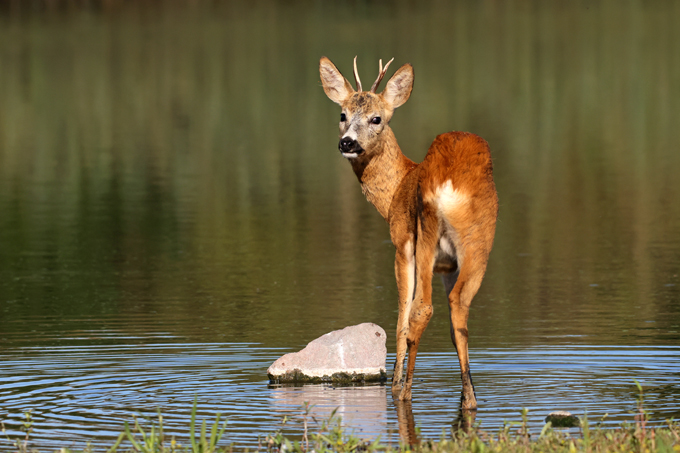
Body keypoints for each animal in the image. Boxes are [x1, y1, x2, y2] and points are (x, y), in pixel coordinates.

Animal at [319, 56, 498, 409]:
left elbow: (401, 318)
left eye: (377, 118)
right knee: (459, 307)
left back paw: (404, 391)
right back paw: (469, 398)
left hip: (424, 233)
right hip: (479, 242)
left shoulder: (401, 243)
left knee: (421, 309)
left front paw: (395, 383)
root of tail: (447, 184)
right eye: (343, 114)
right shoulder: (448, 266)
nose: (348, 142)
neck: (397, 188)